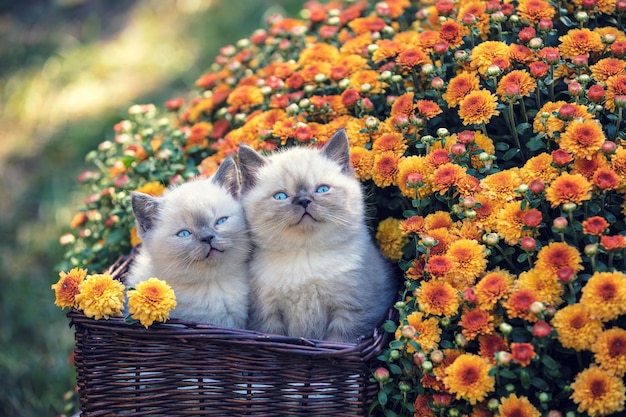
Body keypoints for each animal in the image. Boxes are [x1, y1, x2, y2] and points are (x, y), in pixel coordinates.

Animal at [236, 129, 398, 342]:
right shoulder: (268, 318)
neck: (305, 255)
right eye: (280, 196)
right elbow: (272, 334)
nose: (304, 201)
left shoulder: (350, 312)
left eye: (322, 189)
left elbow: (338, 342)